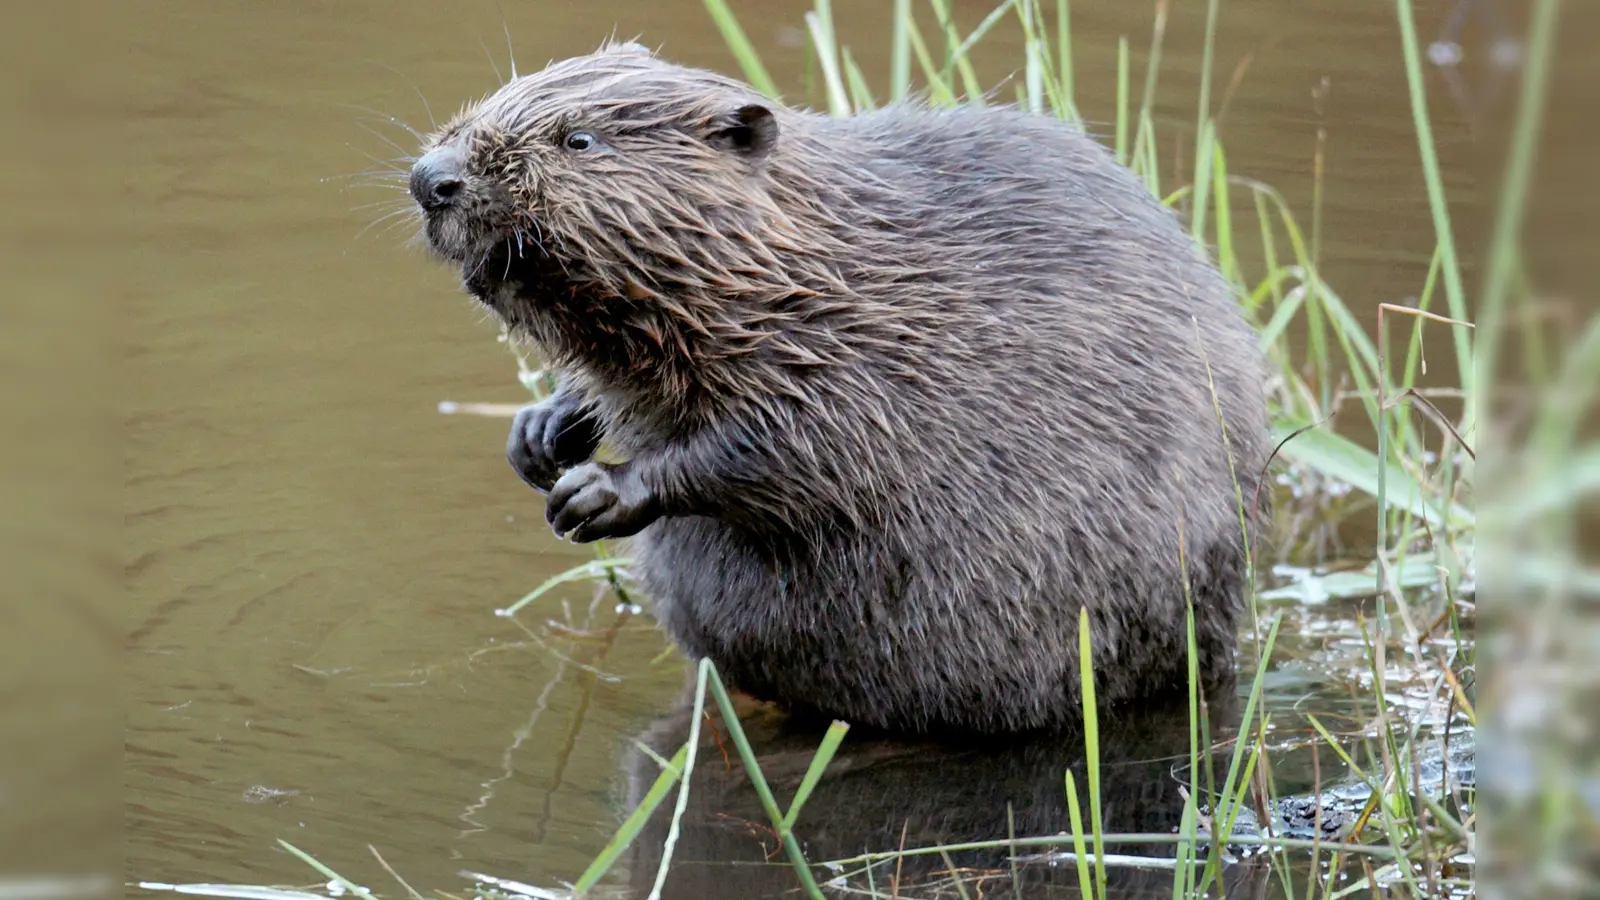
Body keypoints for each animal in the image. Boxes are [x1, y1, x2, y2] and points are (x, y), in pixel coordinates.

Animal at [406, 38, 1267, 733]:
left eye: (579, 139)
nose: (429, 178)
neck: (804, 259)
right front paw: (539, 434)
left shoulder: (862, 355)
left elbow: (798, 450)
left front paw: (595, 493)